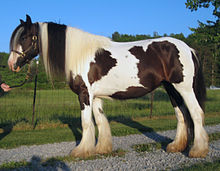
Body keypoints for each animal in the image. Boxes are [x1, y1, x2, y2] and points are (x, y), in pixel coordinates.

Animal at [7, 15, 209, 158]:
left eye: (24, 37)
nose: (11, 64)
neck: (80, 55)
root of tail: (188, 48)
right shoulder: (95, 97)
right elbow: (100, 121)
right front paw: (101, 149)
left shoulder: (84, 95)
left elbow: (86, 122)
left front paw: (81, 151)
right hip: (171, 88)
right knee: (181, 115)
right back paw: (176, 146)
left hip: (184, 88)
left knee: (196, 113)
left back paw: (198, 150)